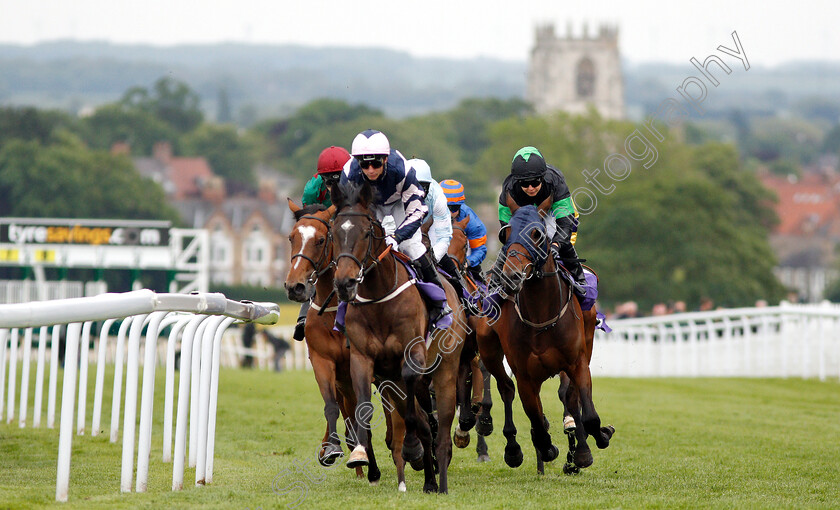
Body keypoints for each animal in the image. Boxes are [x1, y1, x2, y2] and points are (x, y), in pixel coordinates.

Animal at [284, 201, 392, 484]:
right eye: (291, 237)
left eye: (321, 239)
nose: (295, 286)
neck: (333, 312)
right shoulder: (325, 363)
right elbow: (333, 407)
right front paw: (332, 449)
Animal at [332, 180, 470, 494]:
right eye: (333, 233)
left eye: (366, 232)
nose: (344, 283)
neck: (379, 298)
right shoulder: (363, 360)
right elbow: (363, 403)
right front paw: (360, 454)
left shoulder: (412, 354)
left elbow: (413, 413)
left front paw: (410, 448)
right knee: (425, 423)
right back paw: (429, 479)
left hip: (446, 369)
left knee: (441, 429)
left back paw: (441, 481)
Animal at [488, 198, 612, 474]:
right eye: (505, 234)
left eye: (537, 234)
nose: (511, 276)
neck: (540, 316)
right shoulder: (525, 376)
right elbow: (535, 418)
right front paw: (546, 447)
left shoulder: (577, 362)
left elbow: (587, 413)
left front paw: (597, 439)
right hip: (487, 347)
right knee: (505, 388)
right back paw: (514, 450)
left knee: (570, 398)